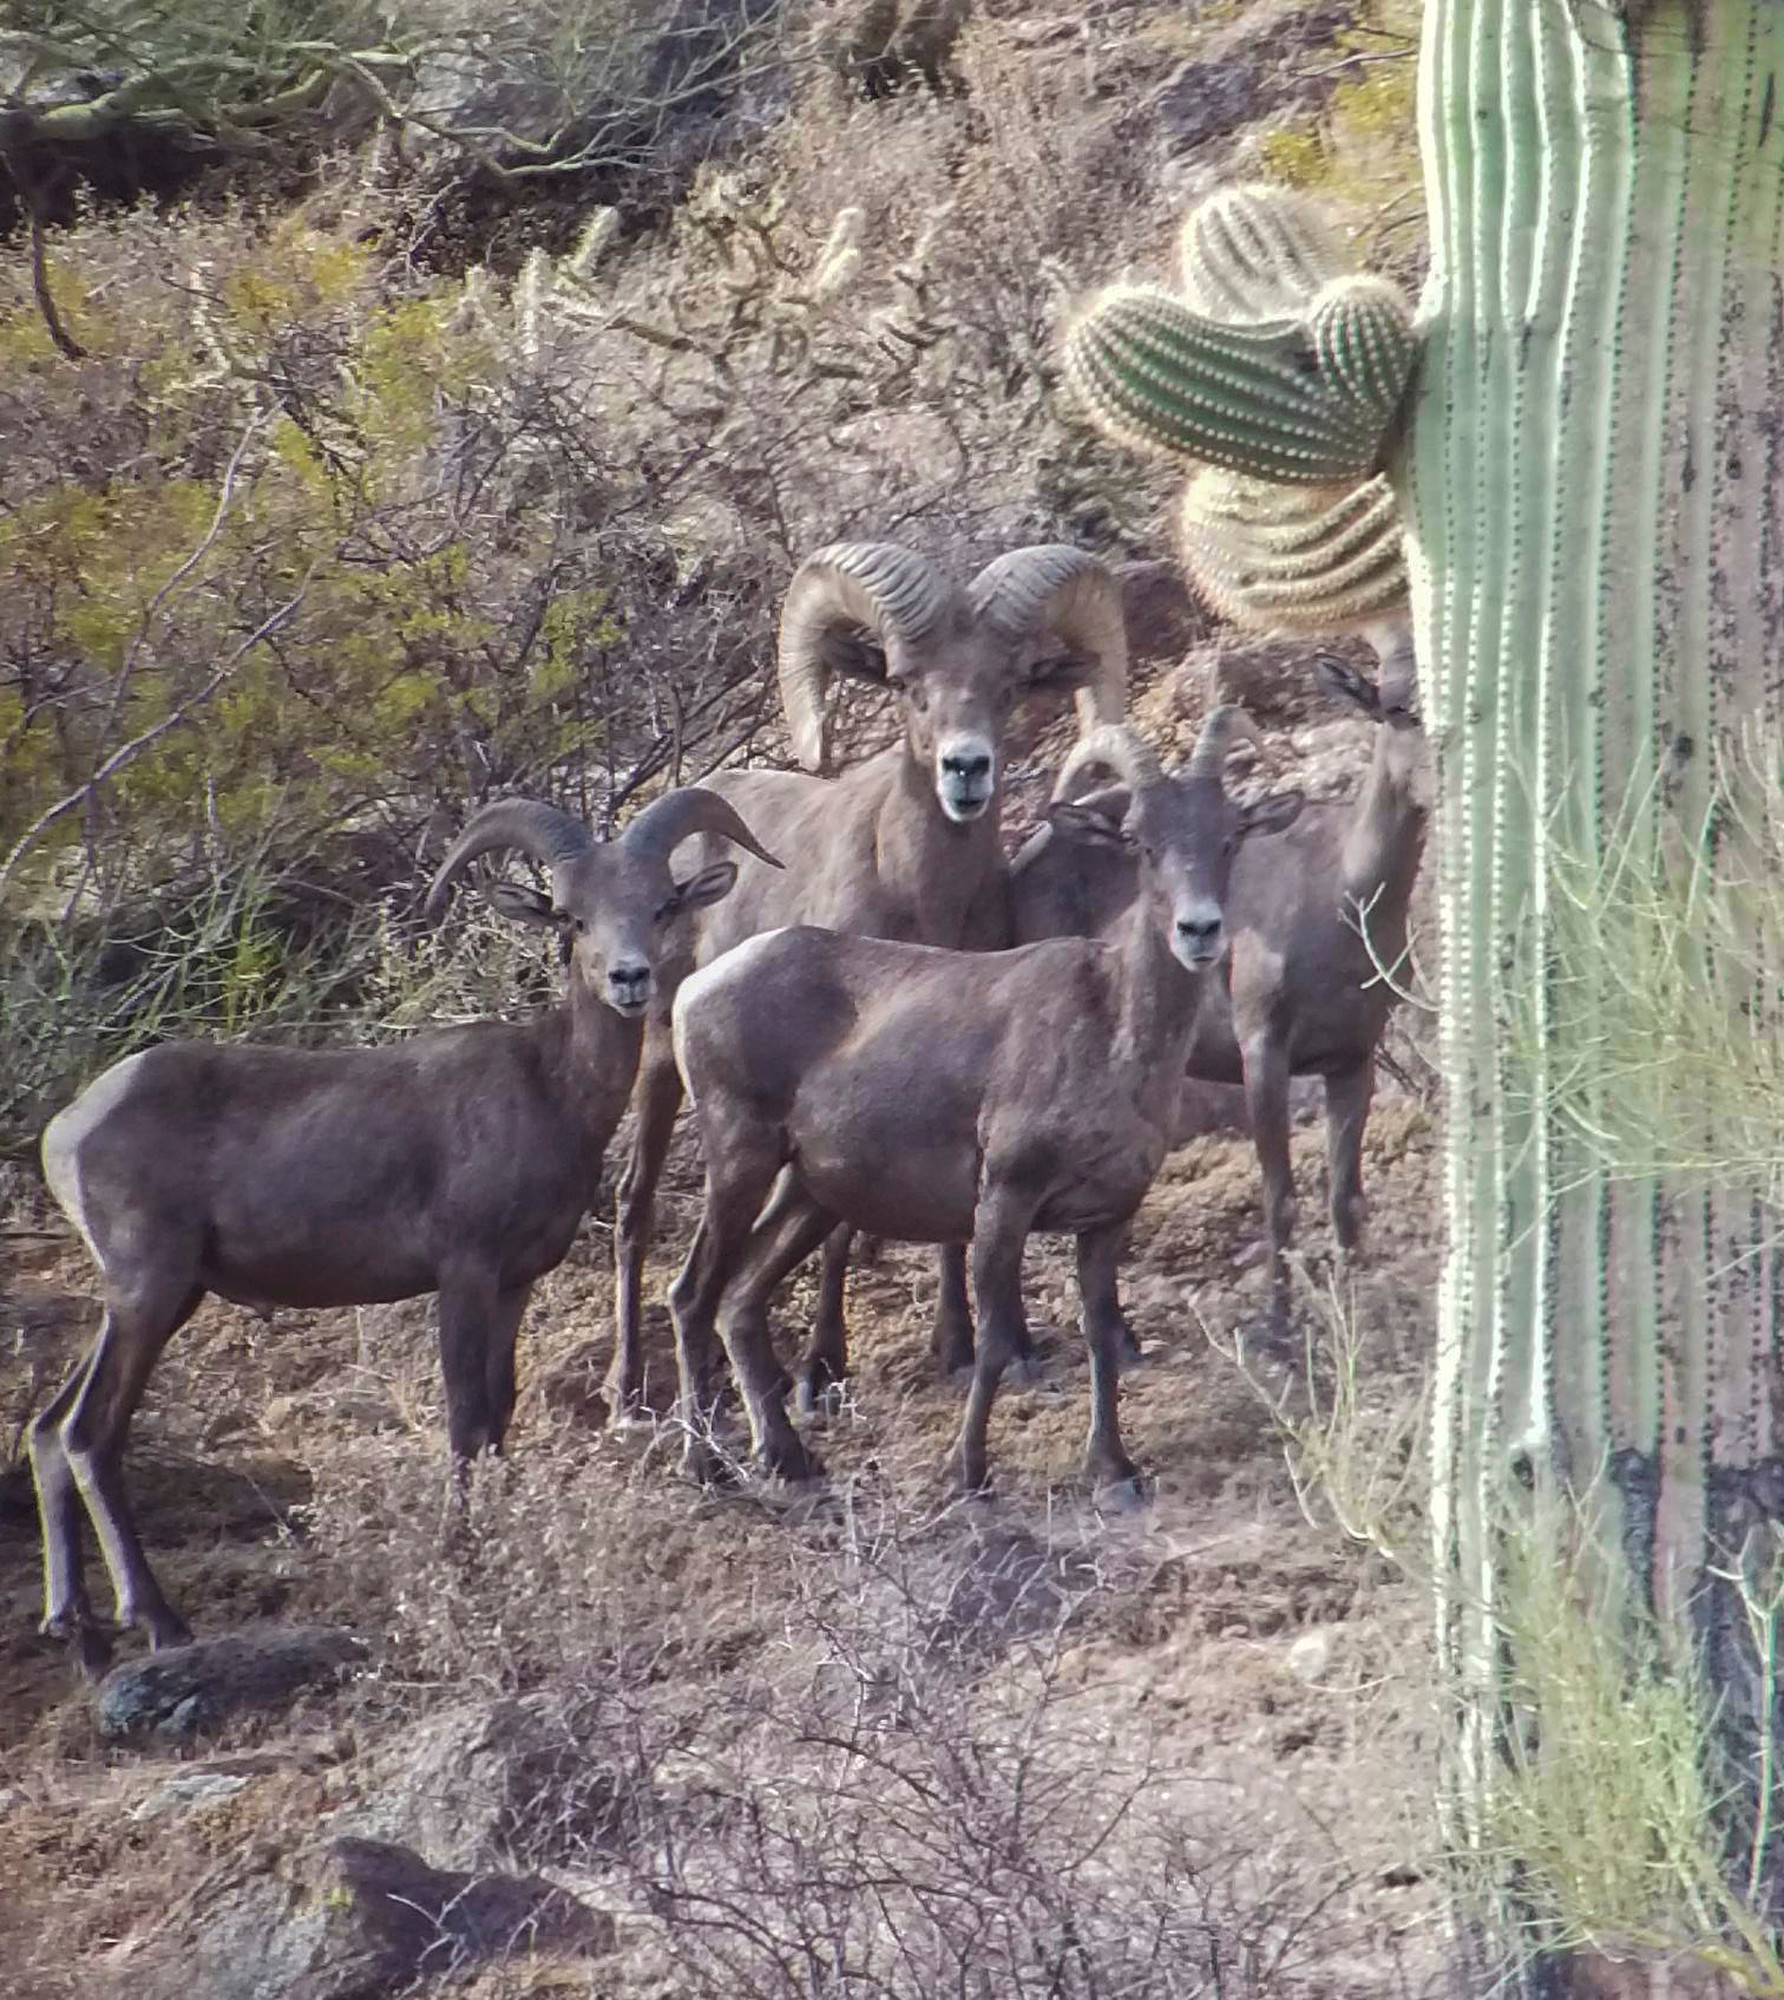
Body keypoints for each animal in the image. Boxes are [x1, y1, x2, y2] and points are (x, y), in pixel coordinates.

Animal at [28, 786, 777, 1674]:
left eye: (660, 904)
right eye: (570, 917)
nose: (631, 978)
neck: (551, 1090)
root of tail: (64, 1133)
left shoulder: (514, 1284)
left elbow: (499, 1410)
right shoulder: (462, 1274)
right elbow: (463, 1414)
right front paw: (462, 1553)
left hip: (156, 1301)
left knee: (47, 1430)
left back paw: (76, 1629)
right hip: (148, 1294)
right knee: (89, 1434)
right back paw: (159, 1622)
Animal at [609, 540, 1128, 1421]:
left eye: (1009, 685)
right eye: (909, 685)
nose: (966, 769)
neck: (922, 896)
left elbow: (954, 1225)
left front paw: (965, 1346)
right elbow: (846, 1229)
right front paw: (822, 1368)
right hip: (656, 1061)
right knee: (636, 1204)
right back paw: (629, 1390)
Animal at [663, 711, 1304, 1497]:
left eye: (1229, 836)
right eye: (1141, 842)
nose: (1200, 931)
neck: (1113, 1034)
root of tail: (698, 991)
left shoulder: (1107, 1217)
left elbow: (1101, 1333)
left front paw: (1114, 1472)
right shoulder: (1003, 1200)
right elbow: (997, 1340)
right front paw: (966, 1473)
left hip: (809, 1195)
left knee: (740, 1300)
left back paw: (788, 1458)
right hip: (740, 1163)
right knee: (693, 1295)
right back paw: (705, 1466)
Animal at [1007, 628, 1428, 1305]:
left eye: (1233, 834)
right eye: (1394, 708)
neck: (1340, 897)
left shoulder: (1352, 1059)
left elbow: (1346, 1199)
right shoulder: (1263, 1053)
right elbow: (1280, 1200)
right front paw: (1277, 1321)